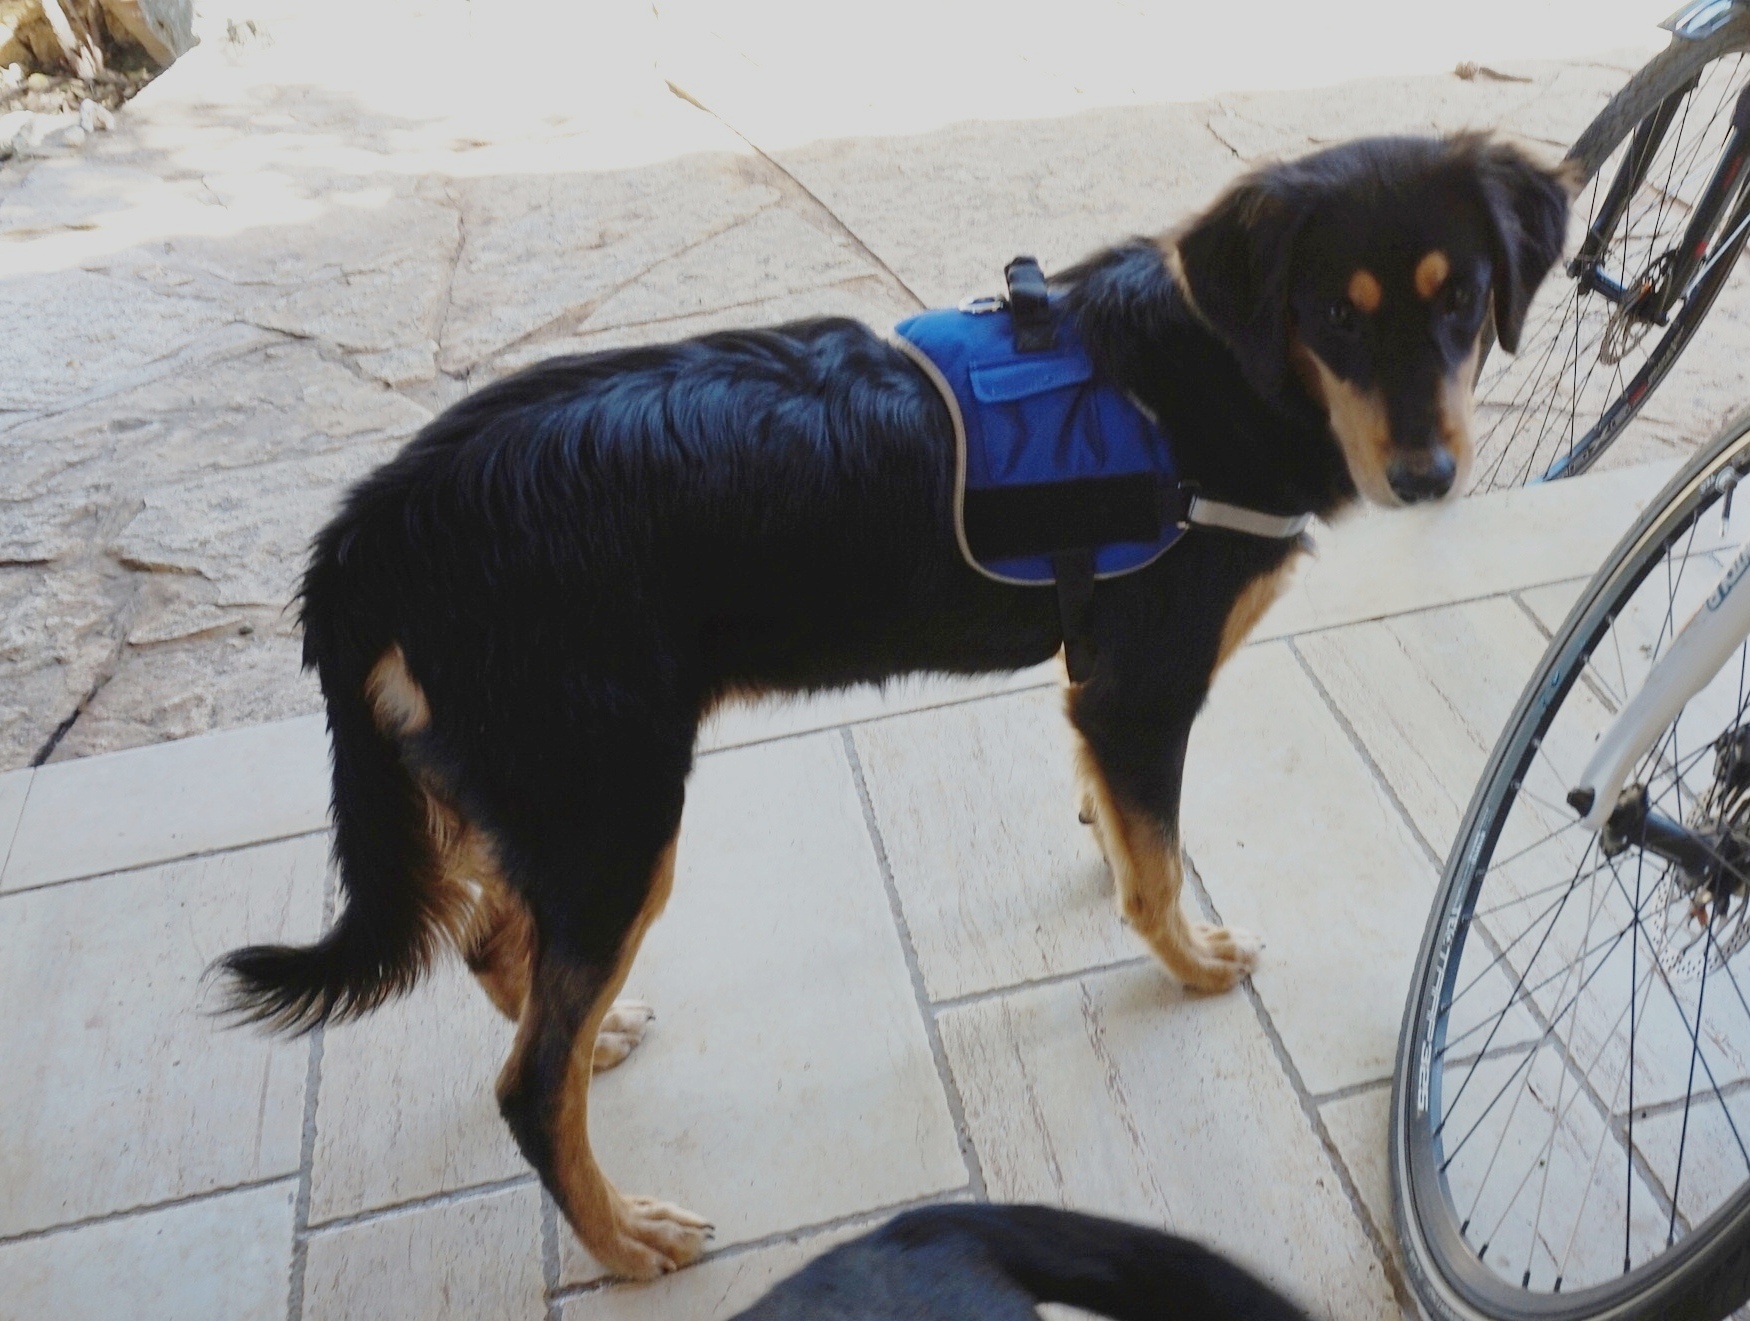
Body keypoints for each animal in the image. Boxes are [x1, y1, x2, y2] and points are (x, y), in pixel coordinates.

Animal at [220, 133, 1571, 1279]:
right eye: (1334, 315)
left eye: (1460, 301)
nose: (1427, 476)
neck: (1208, 378)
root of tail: (377, 521)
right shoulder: (1143, 691)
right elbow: (1158, 869)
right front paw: (1189, 961)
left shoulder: (1093, 685)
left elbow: (1119, 827)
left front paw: (1106, 852)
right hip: (615, 815)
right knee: (524, 1084)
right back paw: (622, 1236)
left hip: (540, 800)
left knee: (504, 960)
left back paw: (597, 1050)